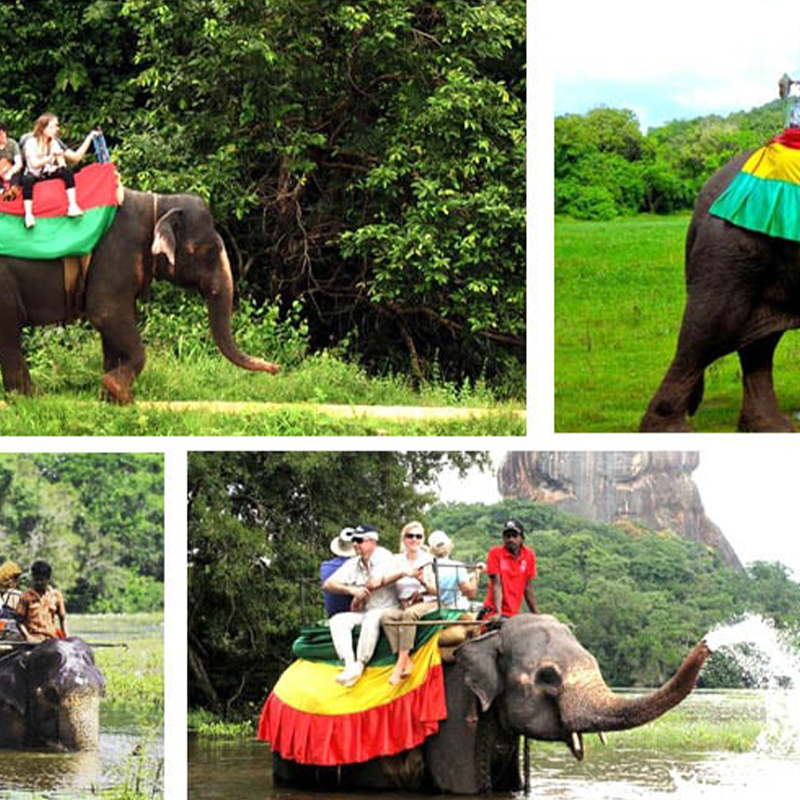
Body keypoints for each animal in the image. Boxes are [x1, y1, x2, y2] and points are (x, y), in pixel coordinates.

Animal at [0, 188, 278, 404]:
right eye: (205, 251)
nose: (275, 369)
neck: (158, 203)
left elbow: (114, 325)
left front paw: (110, 399)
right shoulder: (116, 253)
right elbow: (106, 313)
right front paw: (120, 393)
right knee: (9, 334)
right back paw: (30, 399)